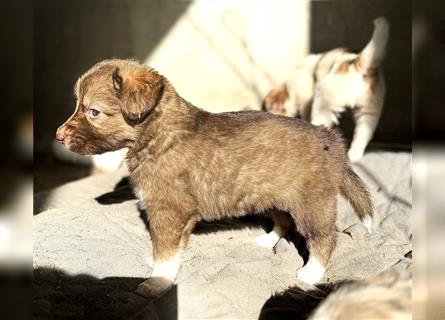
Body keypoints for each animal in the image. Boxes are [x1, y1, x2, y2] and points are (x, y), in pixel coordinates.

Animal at [56, 59, 374, 298]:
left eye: (93, 112)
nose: (58, 136)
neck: (157, 134)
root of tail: (332, 141)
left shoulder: (168, 211)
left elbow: (165, 251)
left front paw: (157, 281)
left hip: (311, 203)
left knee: (325, 237)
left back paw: (311, 272)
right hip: (276, 194)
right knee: (283, 221)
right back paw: (267, 240)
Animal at [264, 17, 388, 162]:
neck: (289, 87)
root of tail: (357, 64)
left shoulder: (305, 99)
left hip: (324, 103)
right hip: (368, 112)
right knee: (362, 135)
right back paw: (353, 156)